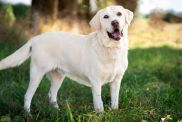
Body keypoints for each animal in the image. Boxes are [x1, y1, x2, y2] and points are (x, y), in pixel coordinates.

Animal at [0, 5, 133, 113]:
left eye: (119, 14)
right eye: (106, 16)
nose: (115, 22)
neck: (111, 48)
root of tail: (35, 38)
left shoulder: (117, 80)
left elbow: (115, 101)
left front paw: (114, 113)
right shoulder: (96, 82)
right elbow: (99, 103)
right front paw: (101, 115)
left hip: (58, 76)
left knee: (51, 94)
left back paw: (56, 111)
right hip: (36, 73)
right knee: (28, 95)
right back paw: (28, 114)